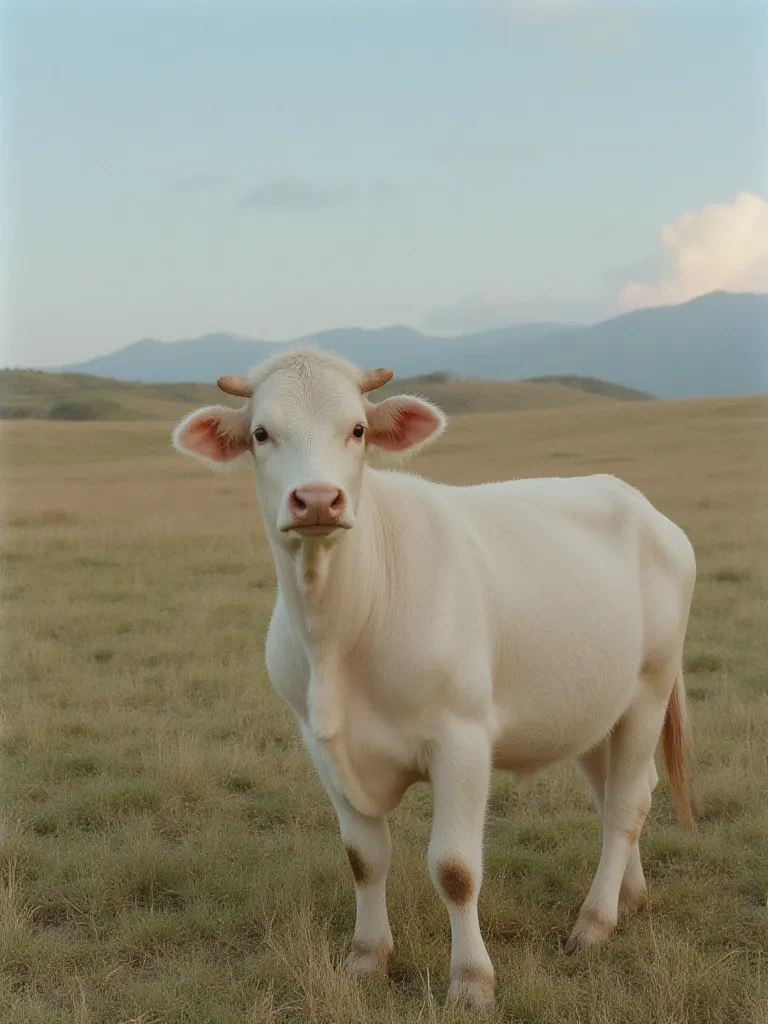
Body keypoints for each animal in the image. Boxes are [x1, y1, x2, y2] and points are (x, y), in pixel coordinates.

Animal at [172, 346, 696, 1010]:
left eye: (358, 429)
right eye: (262, 433)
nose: (317, 499)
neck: (339, 631)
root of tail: (639, 503)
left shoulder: (463, 740)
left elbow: (455, 869)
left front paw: (472, 981)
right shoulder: (320, 745)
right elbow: (364, 858)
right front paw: (366, 957)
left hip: (650, 688)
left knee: (628, 801)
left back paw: (595, 923)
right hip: (595, 706)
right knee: (618, 794)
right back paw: (628, 895)